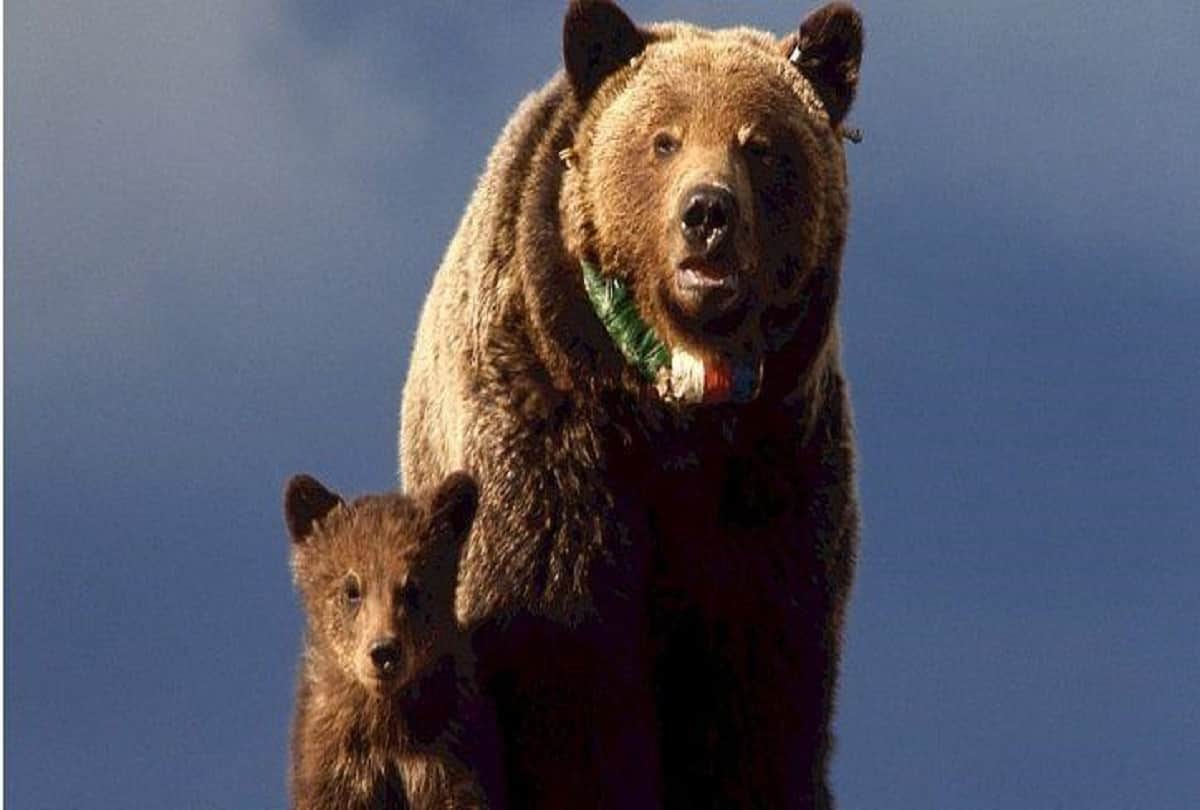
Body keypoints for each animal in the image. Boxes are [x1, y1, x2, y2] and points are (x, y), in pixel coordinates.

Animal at [399, 2, 863, 808]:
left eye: (760, 145)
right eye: (664, 138)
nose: (706, 213)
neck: (671, 411)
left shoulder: (777, 472)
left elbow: (762, 687)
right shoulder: (550, 440)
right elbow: (567, 659)